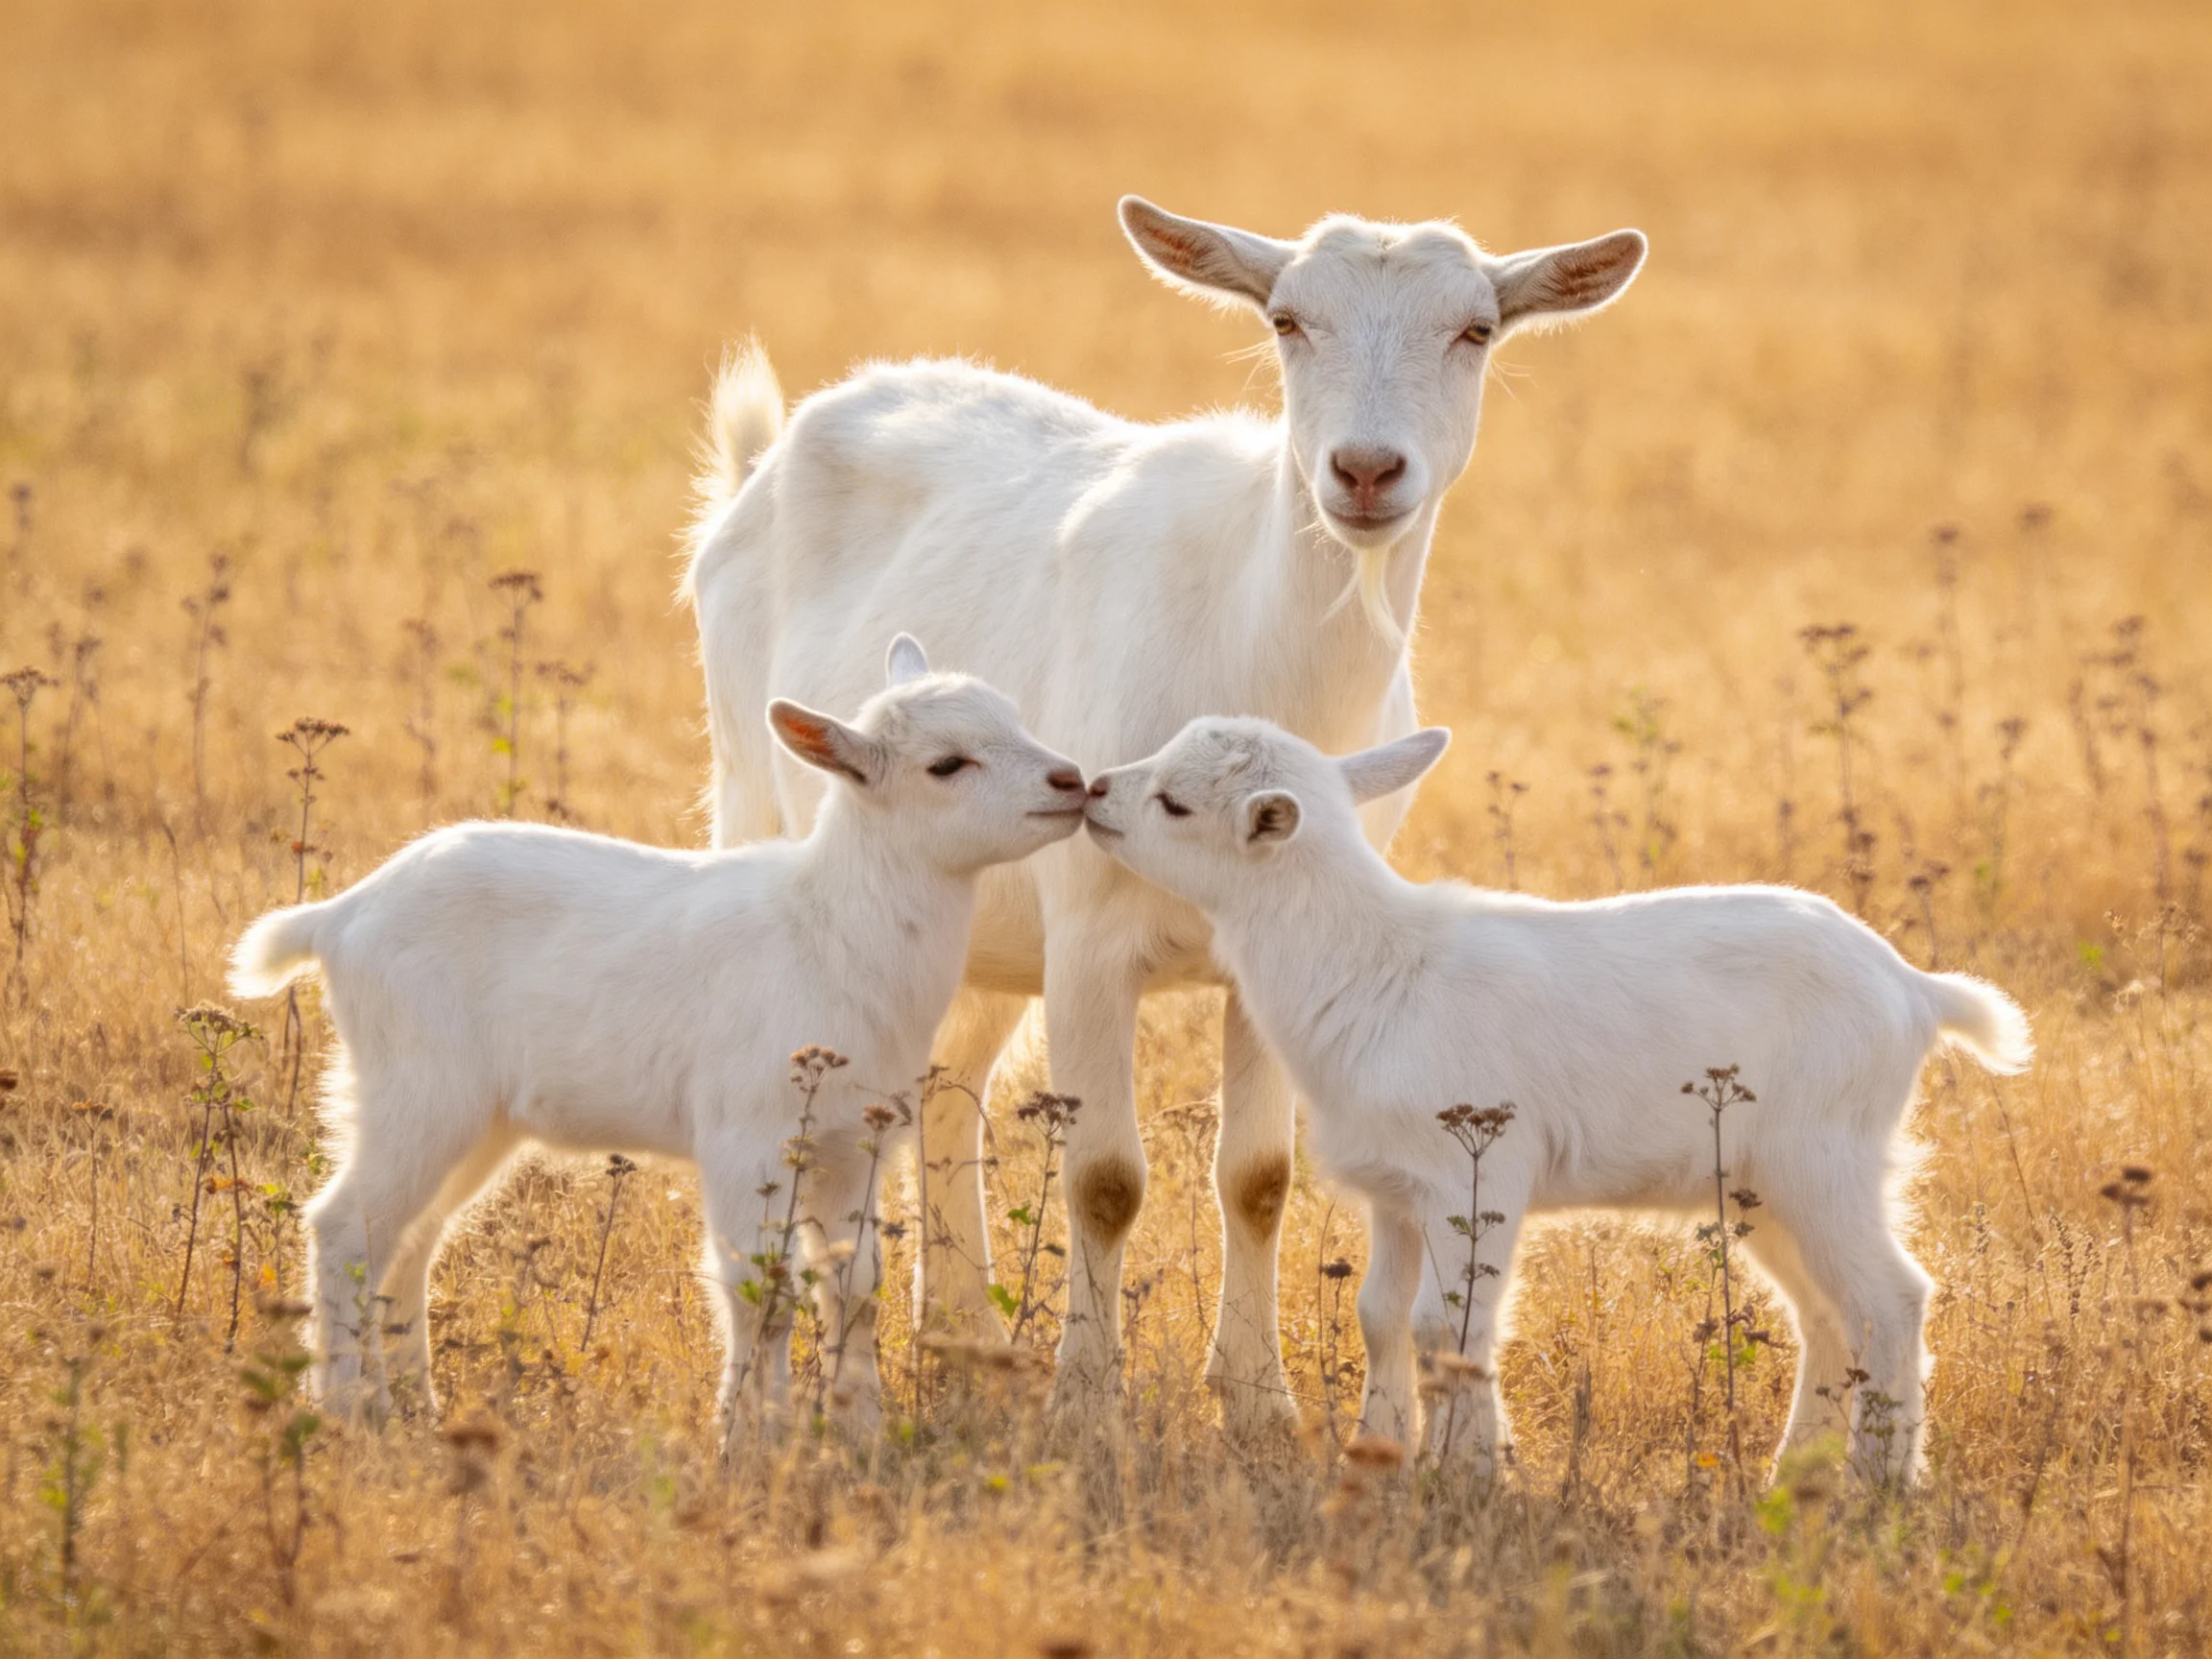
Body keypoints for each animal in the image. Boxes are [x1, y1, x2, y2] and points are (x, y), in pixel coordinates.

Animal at [228, 638, 1086, 1427]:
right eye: (947, 764)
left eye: (1016, 717)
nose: (1071, 781)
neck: (829, 929)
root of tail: (338, 917)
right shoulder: (745, 1137)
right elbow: (761, 1294)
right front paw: (748, 1441)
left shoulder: (852, 1146)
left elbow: (855, 1291)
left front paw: (858, 1434)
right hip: (416, 1088)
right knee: (344, 1228)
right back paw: (346, 1412)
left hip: (478, 1118)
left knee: (411, 1238)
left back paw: (412, 1408)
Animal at [684, 196, 1647, 1437]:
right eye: (1287, 319)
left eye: (1476, 329)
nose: (1365, 469)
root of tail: (759, 469)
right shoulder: (1091, 932)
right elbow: (1104, 1178)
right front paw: (1084, 1406)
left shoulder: (1275, 960)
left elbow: (1259, 1178)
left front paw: (1260, 1402)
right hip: (751, 792)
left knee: (948, 1082)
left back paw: (963, 1339)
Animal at [1081, 716, 2032, 1482]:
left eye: (1172, 803)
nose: (1092, 791)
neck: (1378, 963)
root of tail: (1915, 990)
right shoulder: (1398, 1193)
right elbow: (1383, 1318)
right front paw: (1380, 1458)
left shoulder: (1481, 1177)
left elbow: (1448, 1328)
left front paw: (1467, 1477)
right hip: (1765, 1185)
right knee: (1826, 1312)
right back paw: (1795, 1475)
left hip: (1826, 1160)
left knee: (1890, 1299)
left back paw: (1879, 1484)